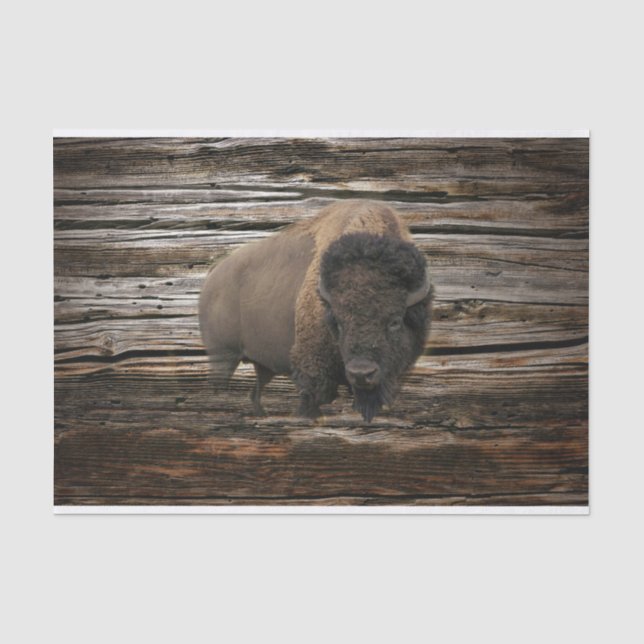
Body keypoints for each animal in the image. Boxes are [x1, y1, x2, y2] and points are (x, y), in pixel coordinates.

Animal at [199, 200, 433, 422]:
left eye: (395, 321)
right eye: (338, 322)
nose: (361, 373)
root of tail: (214, 273)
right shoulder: (313, 368)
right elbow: (312, 398)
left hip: (260, 364)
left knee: (255, 392)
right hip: (223, 356)